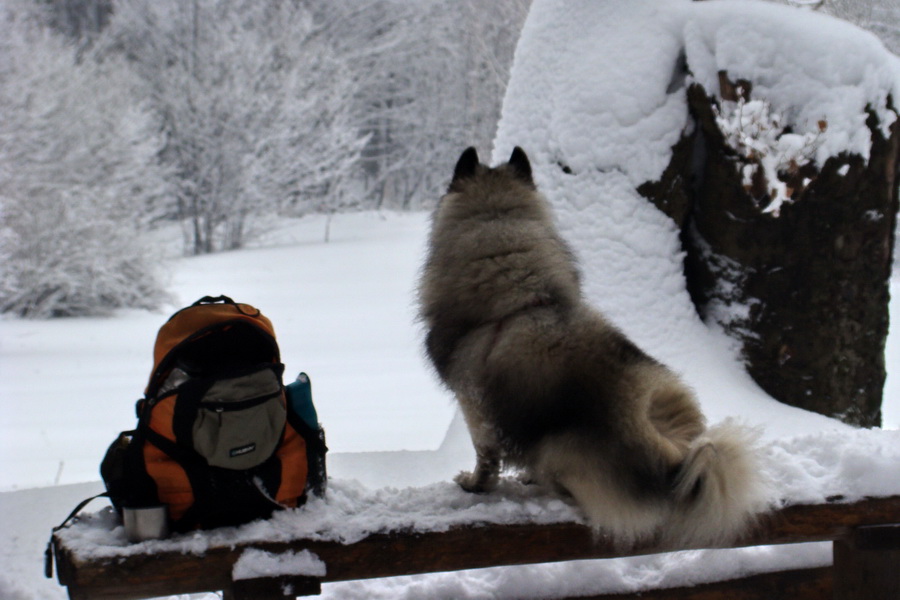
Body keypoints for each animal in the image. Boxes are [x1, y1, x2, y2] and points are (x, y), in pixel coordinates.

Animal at [420, 146, 768, 548]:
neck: (523, 299)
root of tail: (674, 460)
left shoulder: (474, 403)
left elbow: (485, 456)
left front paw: (475, 485)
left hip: (554, 448)